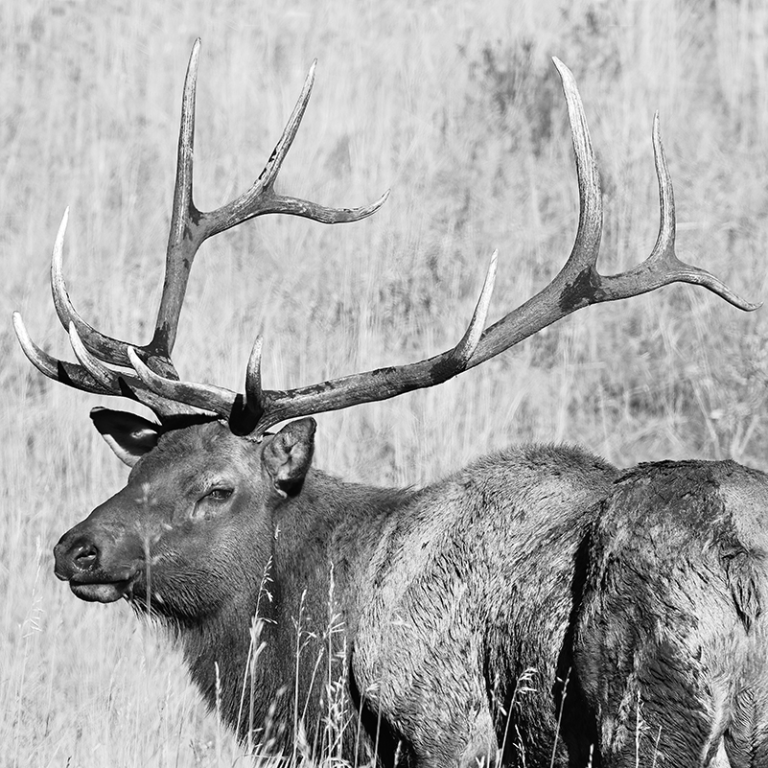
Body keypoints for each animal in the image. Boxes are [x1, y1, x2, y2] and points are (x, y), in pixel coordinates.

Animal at [14, 39, 762, 767]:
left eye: (217, 488)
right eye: (138, 469)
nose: (76, 549)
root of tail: (741, 567)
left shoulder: (446, 725)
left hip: (643, 704)